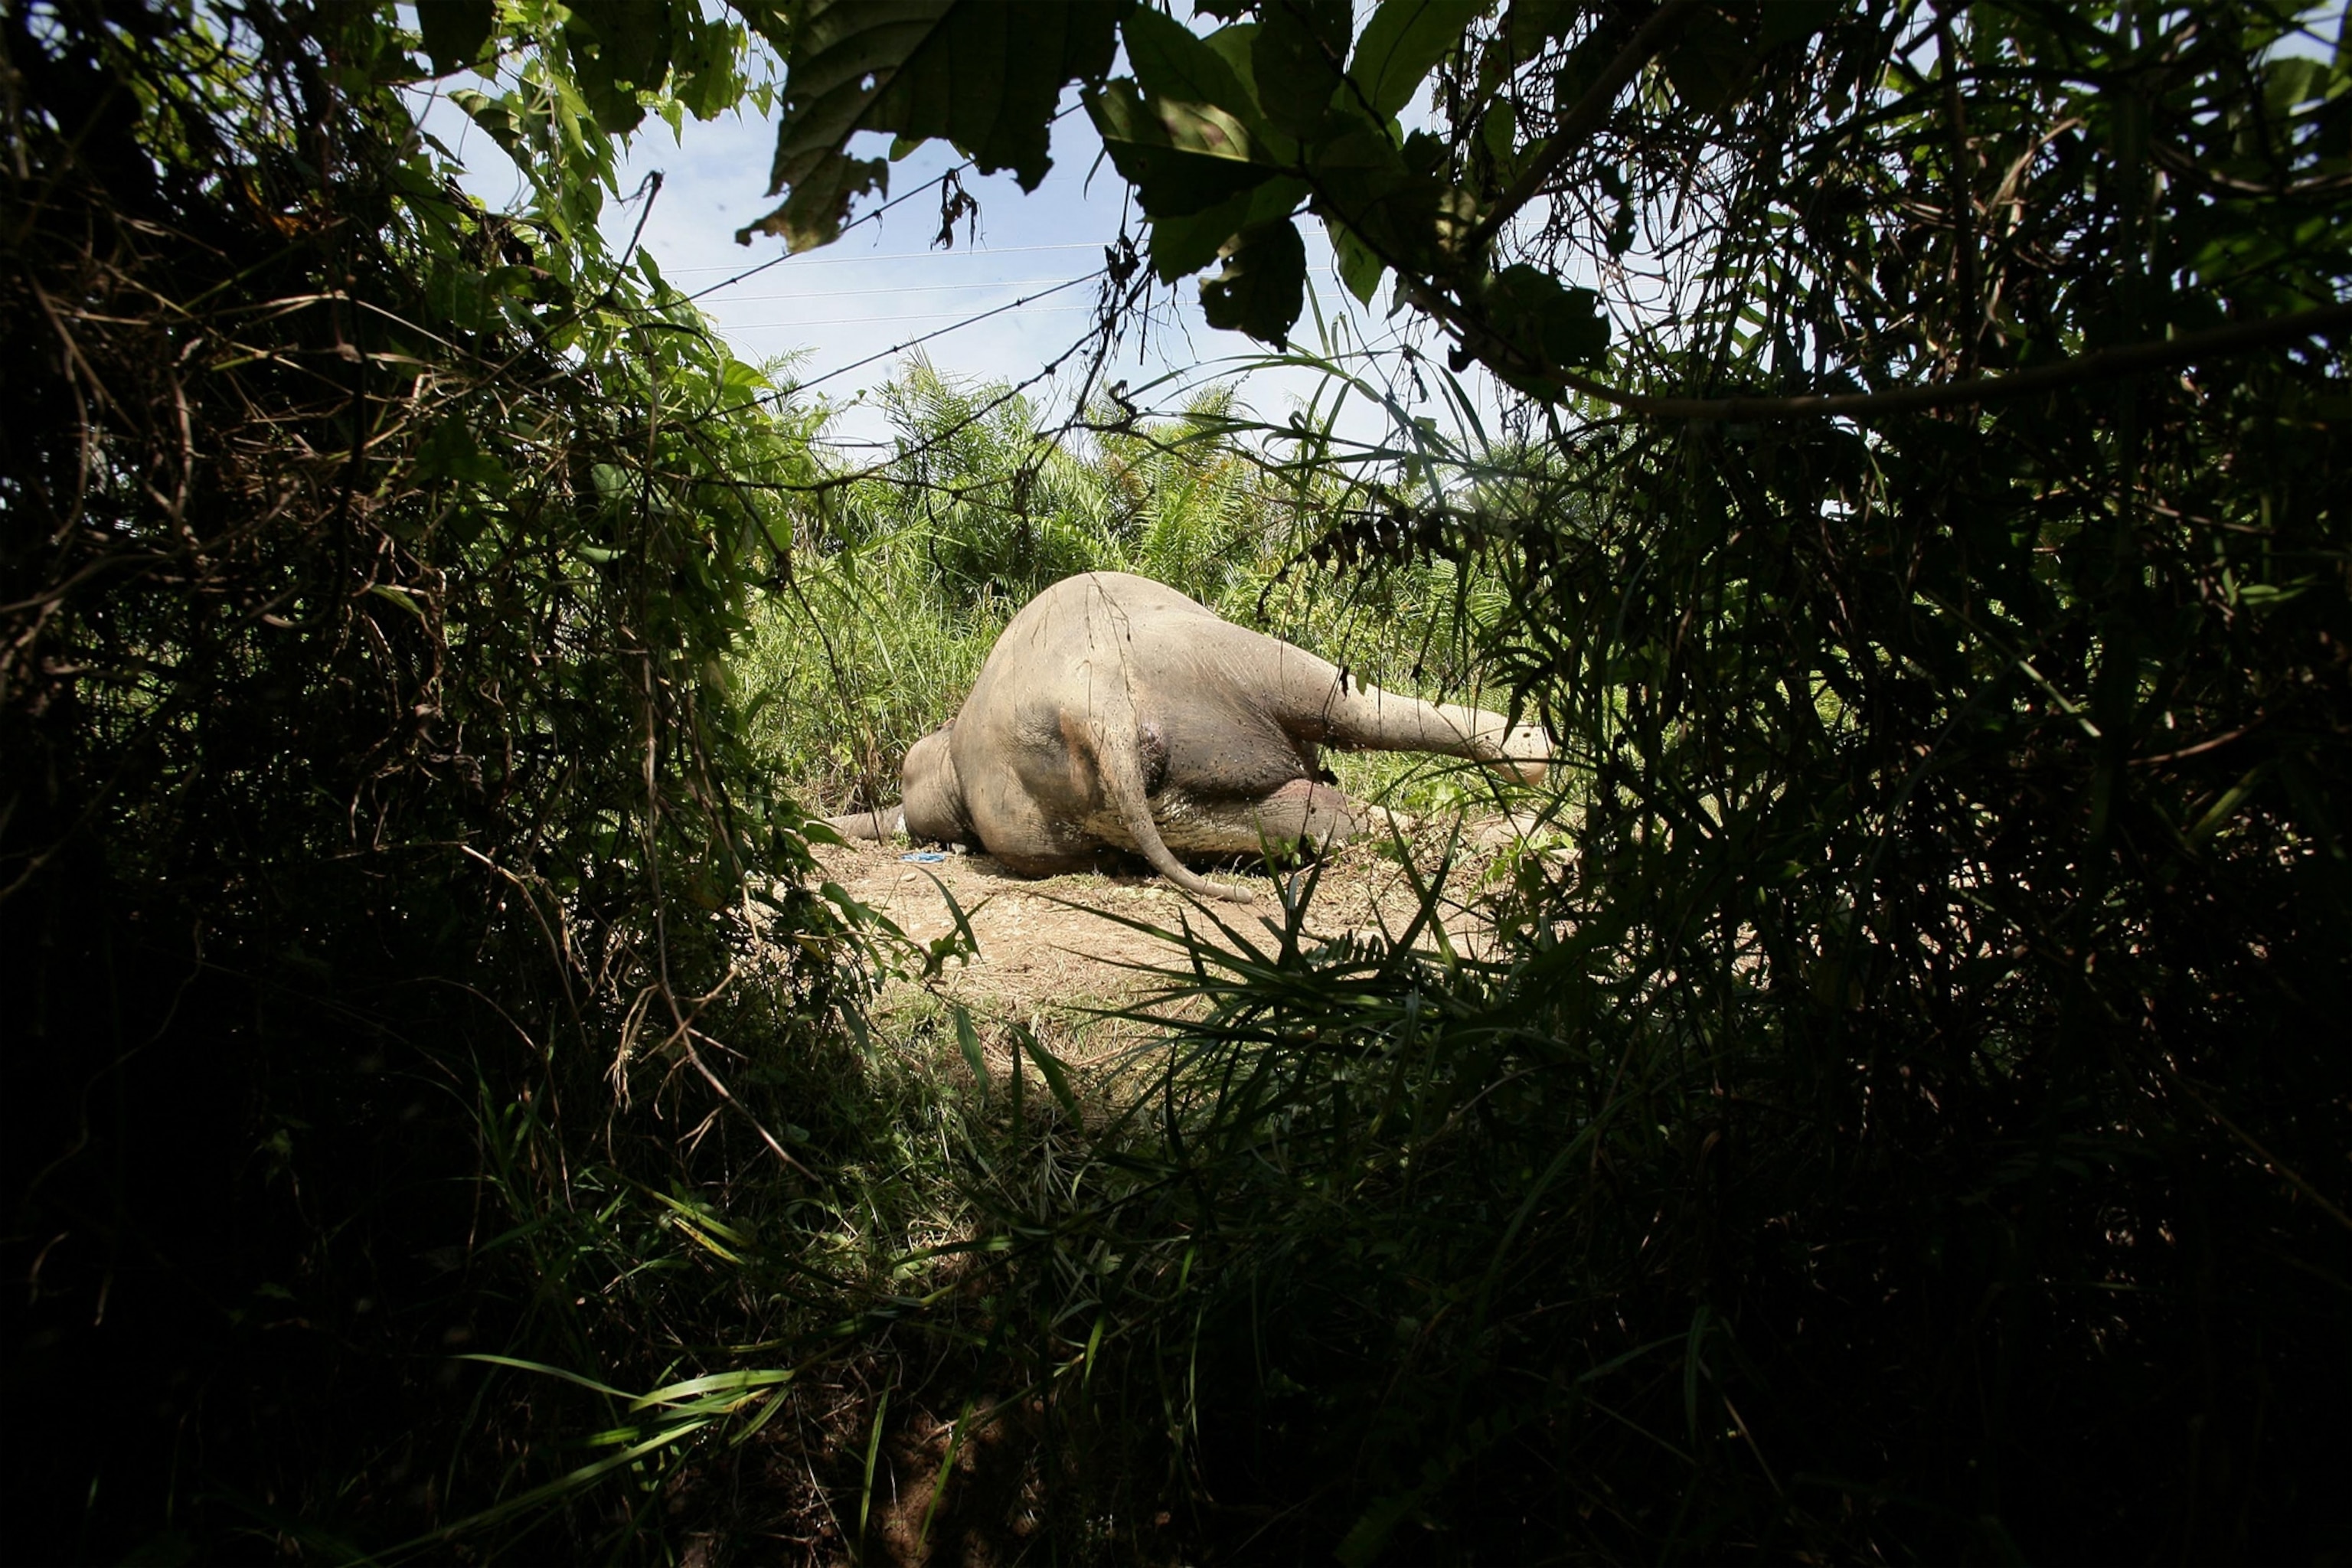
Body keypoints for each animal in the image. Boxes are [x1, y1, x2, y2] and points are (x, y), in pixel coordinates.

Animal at [820, 572, 1548, 901]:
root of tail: (1093, 709)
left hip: (1088, 810)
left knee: (1314, 816)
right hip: (1210, 657)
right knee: (1338, 705)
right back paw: (1532, 765)